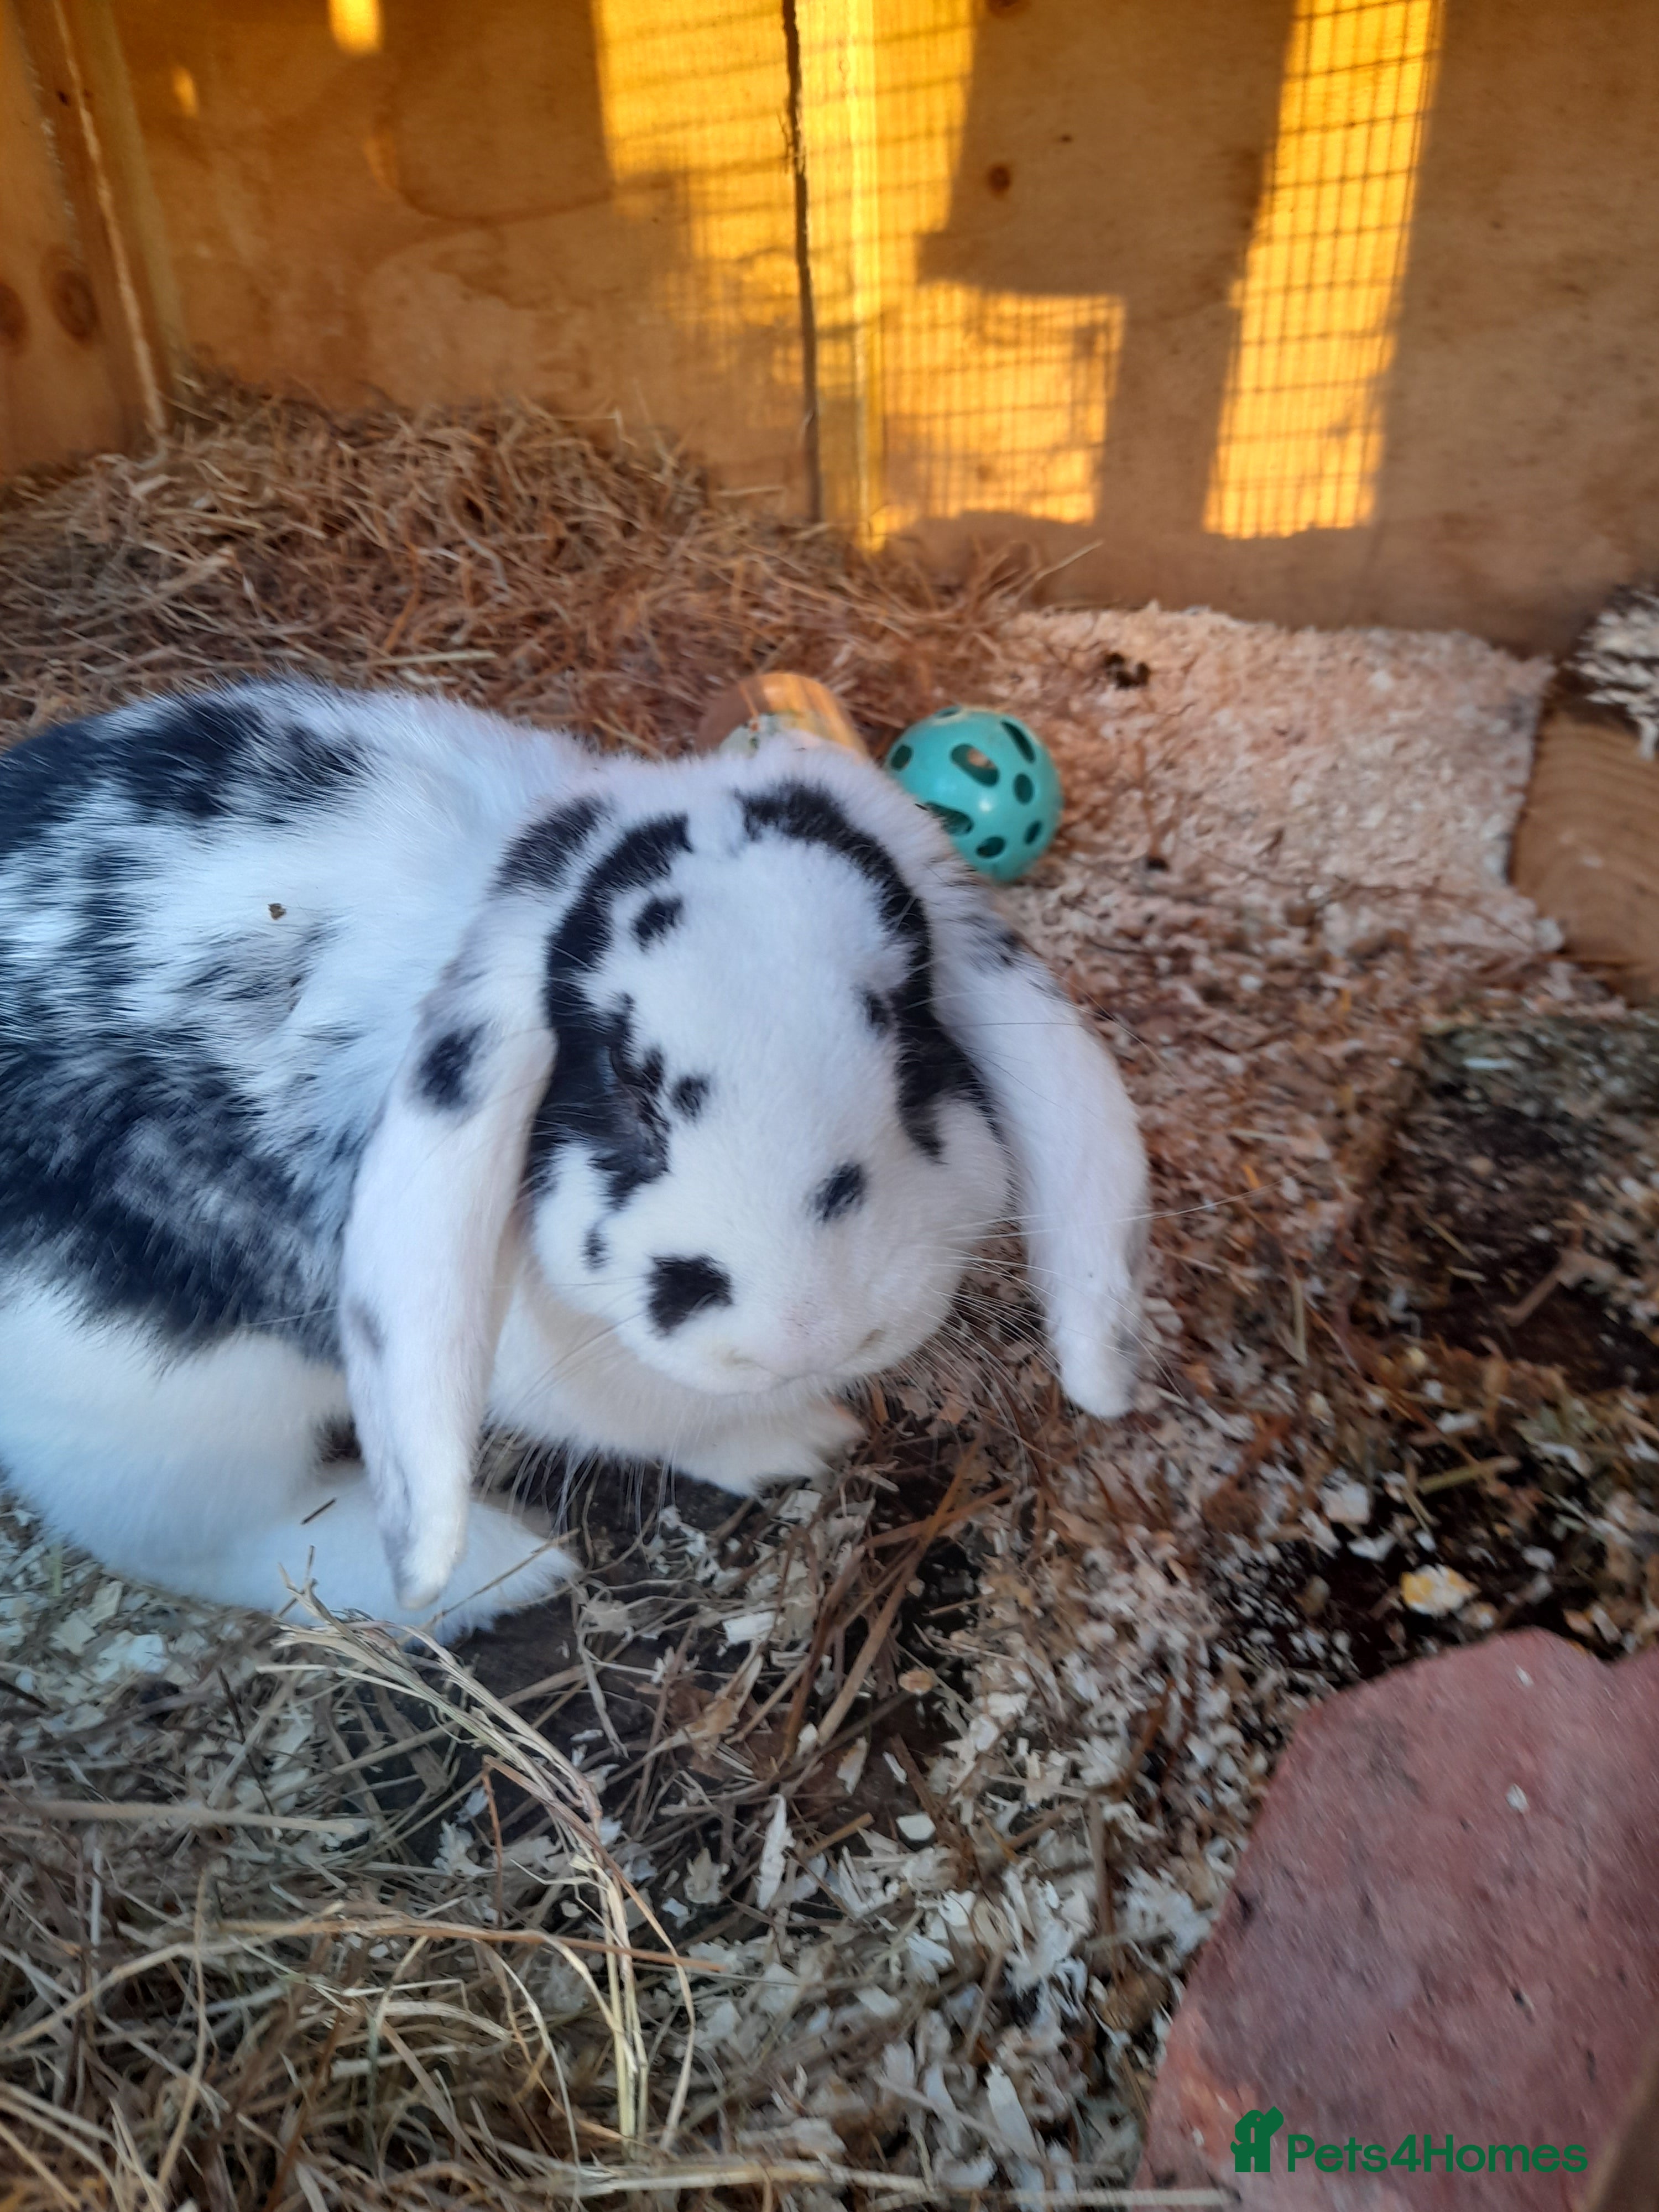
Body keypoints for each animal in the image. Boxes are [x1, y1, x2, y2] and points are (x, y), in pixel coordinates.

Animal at [0, 681, 1148, 1640]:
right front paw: (797, 1438)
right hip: (170, 1430)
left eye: (911, 1046)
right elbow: (673, 1425)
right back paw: (506, 1572)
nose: (806, 1332)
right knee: (222, 1543)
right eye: (629, 1094)